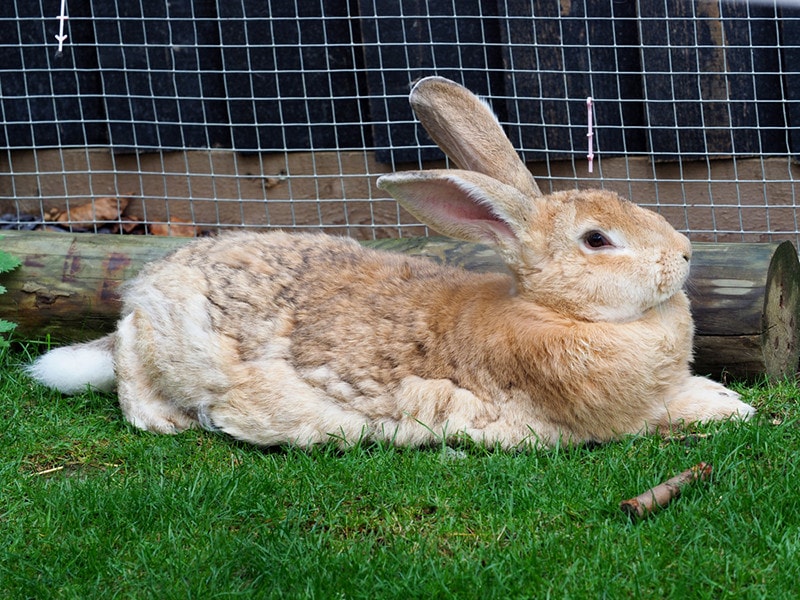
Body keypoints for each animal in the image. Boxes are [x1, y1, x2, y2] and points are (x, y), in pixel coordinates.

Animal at [27, 76, 755, 449]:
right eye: (597, 240)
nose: (685, 255)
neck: (551, 311)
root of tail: (152, 280)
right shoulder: (597, 420)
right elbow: (662, 415)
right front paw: (730, 411)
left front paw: (728, 398)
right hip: (163, 338)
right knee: (129, 364)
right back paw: (163, 417)